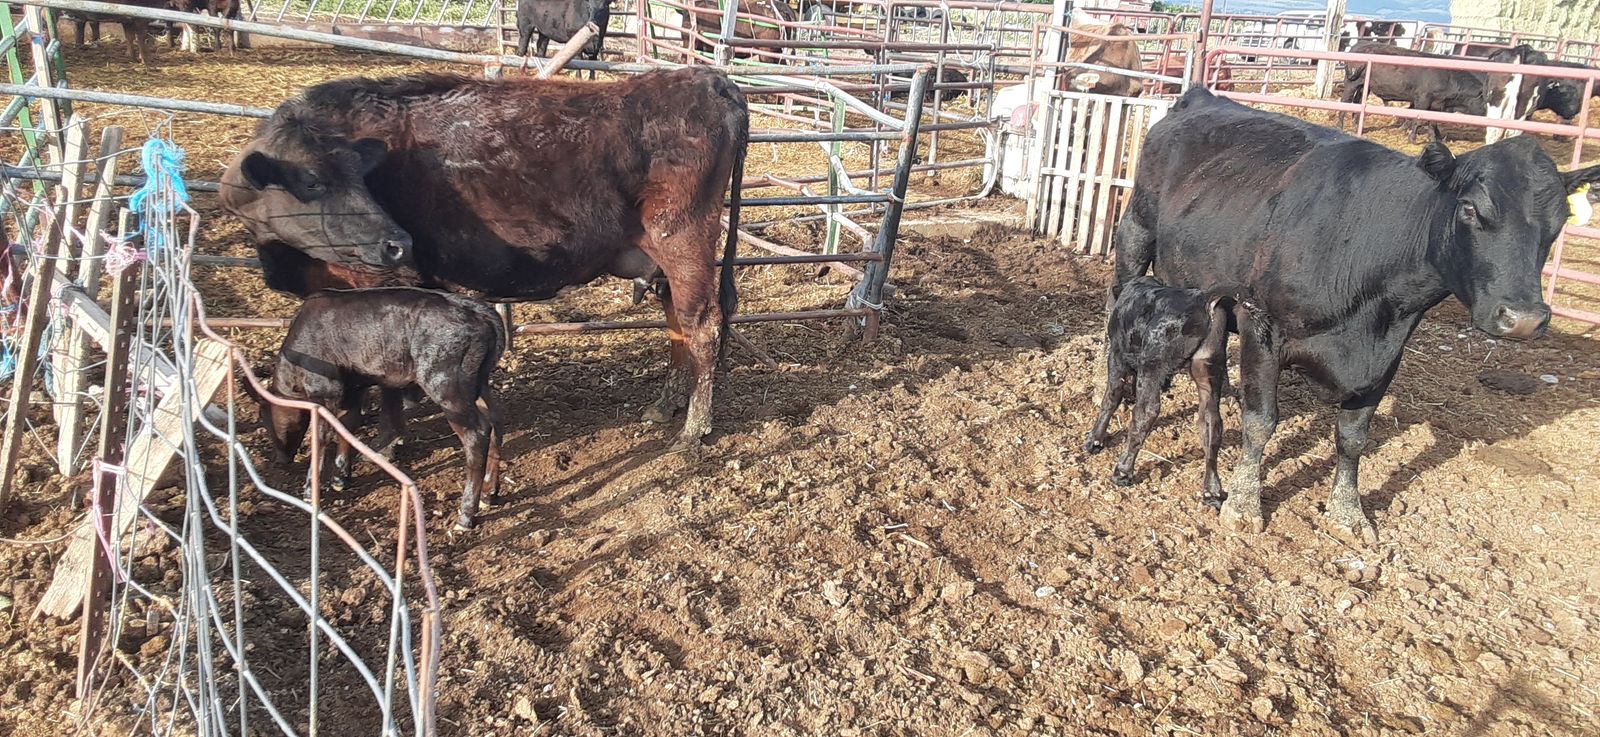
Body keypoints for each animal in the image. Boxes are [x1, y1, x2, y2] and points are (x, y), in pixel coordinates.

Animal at [218, 67, 750, 454]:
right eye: (312, 180)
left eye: (357, 173)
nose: (396, 242)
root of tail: (705, 77)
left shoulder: (381, 284)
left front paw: (387, 435)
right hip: (661, 259)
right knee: (677, 324)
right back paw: (665, 406)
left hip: (683, 241)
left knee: (703, 326)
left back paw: (694, 429)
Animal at [246, 288, 505, 531]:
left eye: (265, 416)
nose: (280, 459)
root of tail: (477, 309)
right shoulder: (352, 389)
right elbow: (347, 426)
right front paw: (340, 476)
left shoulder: (325, 392)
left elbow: (322, 436)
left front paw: (311, 489)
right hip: (477, 385)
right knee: (494, 421)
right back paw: (488, 493)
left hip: (447, 387)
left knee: (476, 435)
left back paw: (466, 513)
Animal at [1113, 86, 1600, 544]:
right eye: (1471, 208)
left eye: (1558, 222)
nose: (1524, 318)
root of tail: (1201, 96)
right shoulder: (1263, 326)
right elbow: (1261, 422)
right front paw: (1244, 504)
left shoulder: (1388, 352)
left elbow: (1353, 436)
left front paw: (1348, 512)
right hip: (1134, 235)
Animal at [1337, 40, 1487, 141]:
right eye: (1486, 103)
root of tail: (1359, 44)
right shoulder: (1423, 98)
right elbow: (1418, 118)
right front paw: (1412, 137)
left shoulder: (1437, 104)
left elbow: (1432, 122)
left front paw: (1434, 138)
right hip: (1351, 83)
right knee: (1345, 101)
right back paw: (1340, 125)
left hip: (1364, 87)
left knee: (1357, 103)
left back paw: (1355, 125)